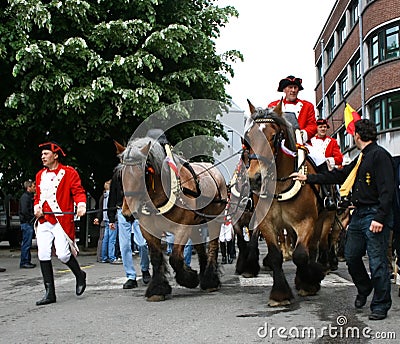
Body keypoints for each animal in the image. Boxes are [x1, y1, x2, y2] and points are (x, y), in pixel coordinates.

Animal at [118, 134, 228, 300]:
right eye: (121, 174)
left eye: (144, 173)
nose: (127, 214)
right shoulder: (148, 230)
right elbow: (156, 257)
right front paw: (157, 289)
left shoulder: (182, 227)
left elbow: (175, 257)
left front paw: (189, 278)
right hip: (196, 224)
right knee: (200, 247)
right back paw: (204, 275)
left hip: (214, 219)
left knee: (213, 246)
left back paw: (210, 280)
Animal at [244, 100, 334, 306]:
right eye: (248, 139)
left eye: (274, 136)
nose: (255, 179)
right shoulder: (266, 222)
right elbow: (276, 256)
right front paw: (280, 294)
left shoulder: (306, 221)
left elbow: (300, 255)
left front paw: (308, 283)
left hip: (324, 219)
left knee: (314, 247)